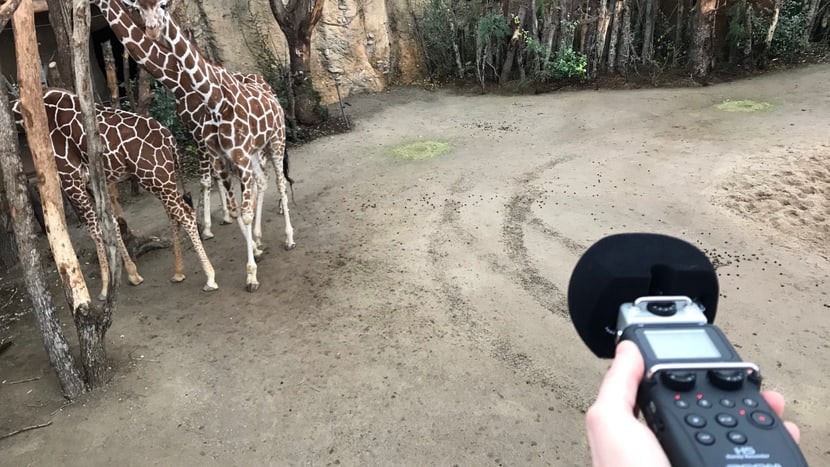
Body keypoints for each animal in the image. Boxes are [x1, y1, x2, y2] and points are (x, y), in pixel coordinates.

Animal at [14, 88, 221, 300]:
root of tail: (170, 140)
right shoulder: (91, 181)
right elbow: (112, 223)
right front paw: (133, 274)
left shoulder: (70, 178)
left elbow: (95, 228)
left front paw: (105, 288)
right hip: (161, 179)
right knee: (174, 214)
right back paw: (178, 272)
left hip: (155, 177)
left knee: (185, 213)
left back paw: (210, 277)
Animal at [93, 0, 296, 292]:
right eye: (139, 8)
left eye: (163, 5)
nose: (152, 29)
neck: (180, 84)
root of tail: (267, 87)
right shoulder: (216, 149)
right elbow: (231, 204)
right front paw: (244, 243)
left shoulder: (206, 140)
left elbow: (211, 186)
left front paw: (247, 270)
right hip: (256, 149)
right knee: (263, 180)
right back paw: (258, 237)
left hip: (275, 139)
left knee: (278, 179)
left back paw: (288, 235)